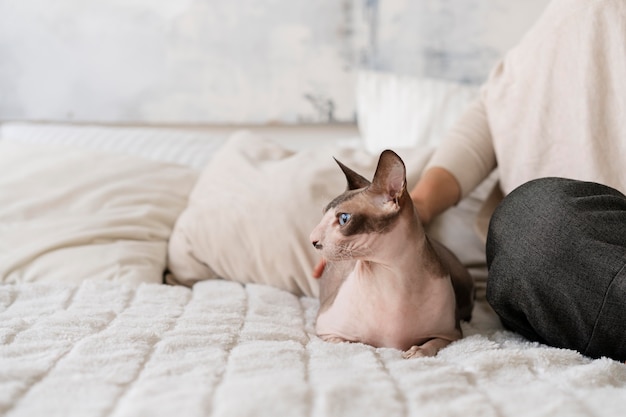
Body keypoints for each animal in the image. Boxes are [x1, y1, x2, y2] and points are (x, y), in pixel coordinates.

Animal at [308, 150, 472, 358]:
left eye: (344, 218)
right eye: (323, 215)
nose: (312, 240)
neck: (392, 274)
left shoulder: (452, 334)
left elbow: (431, 344)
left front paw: (416, 352)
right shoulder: (327, 331)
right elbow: (353, 343)